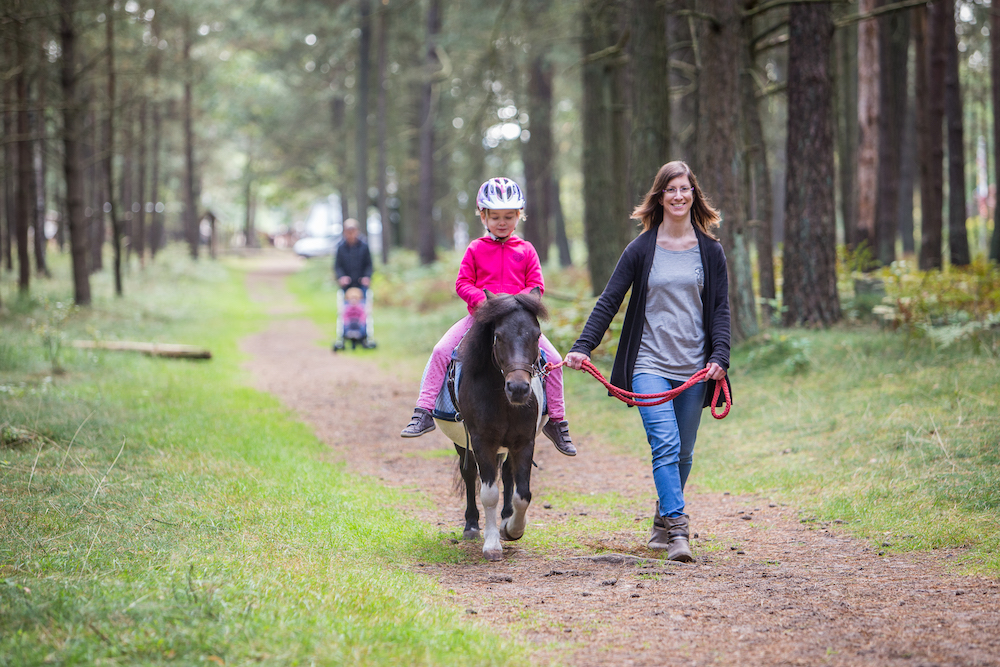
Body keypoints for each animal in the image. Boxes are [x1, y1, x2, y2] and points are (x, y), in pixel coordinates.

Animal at [436, 290, 552, 560]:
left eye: (537, 335)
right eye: (498, 336)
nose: (518, 389)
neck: (503, 399)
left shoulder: (524, 442)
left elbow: (523, 494)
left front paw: (512, 529)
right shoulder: (482, 442)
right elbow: (488, 494)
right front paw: (491, 545)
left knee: (508, 475)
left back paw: (505, 519)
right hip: (463, 444)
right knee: (469, 474)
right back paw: (471, 526)